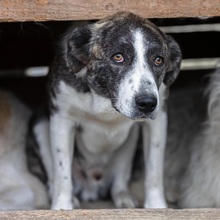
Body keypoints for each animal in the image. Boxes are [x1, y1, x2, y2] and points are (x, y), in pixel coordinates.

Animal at [48, 12, 182, 210]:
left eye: (159, 60)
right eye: (118, 56)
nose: (147, 103)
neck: (105, 99)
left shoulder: (158, 121)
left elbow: (154, 170)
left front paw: (157, 206)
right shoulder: (61, 118)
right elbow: (62, 172)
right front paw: (62, 208)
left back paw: (123, 196)